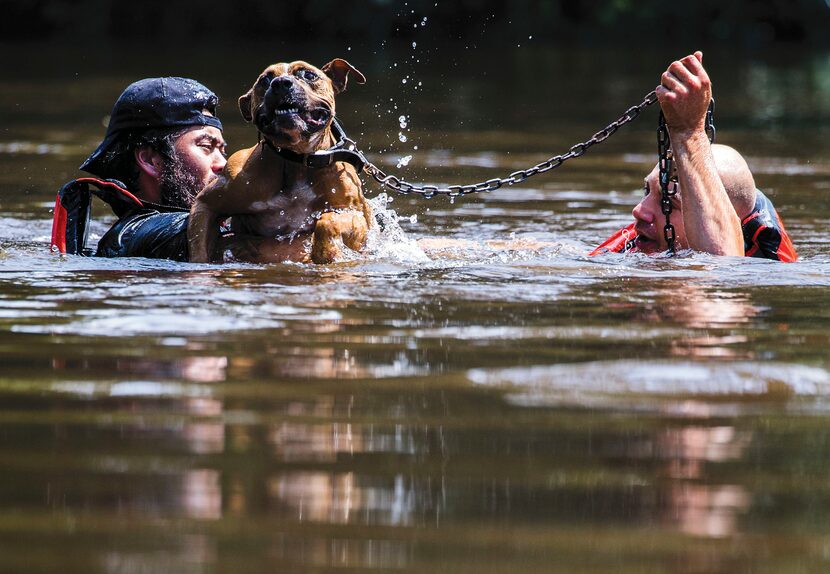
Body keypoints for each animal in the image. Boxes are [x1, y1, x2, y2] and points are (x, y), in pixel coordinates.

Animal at [190, 59, 372, 264]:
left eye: (309, 75)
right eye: (264, 80)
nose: (280, 83)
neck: (297, 160)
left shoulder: (355, 215)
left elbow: (328, 222)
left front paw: (325, 252)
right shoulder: (209, 201)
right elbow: (198, 249)